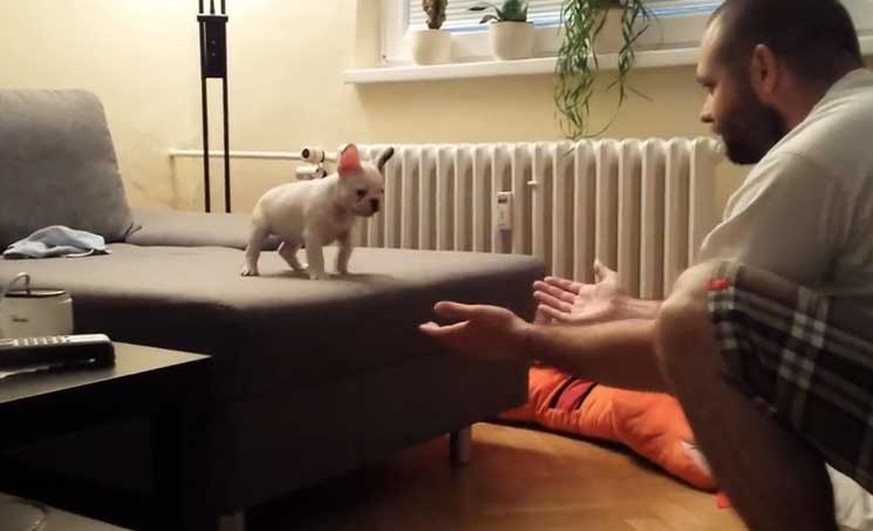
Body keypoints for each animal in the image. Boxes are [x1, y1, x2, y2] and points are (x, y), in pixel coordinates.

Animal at [240, 143, 394, 279]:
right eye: (360, 192)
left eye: (381, 191)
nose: (375, 201)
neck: (339, 206)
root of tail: (266, 194)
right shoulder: (313, 236)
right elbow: (317, 257)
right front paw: (320, 275)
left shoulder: (346, 235)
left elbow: (344, 253)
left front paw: (342, 270)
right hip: (259, 229)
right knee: (252, 250)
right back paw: (250, 269)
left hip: (295, 237)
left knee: (285, 251)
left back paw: (300, 267)